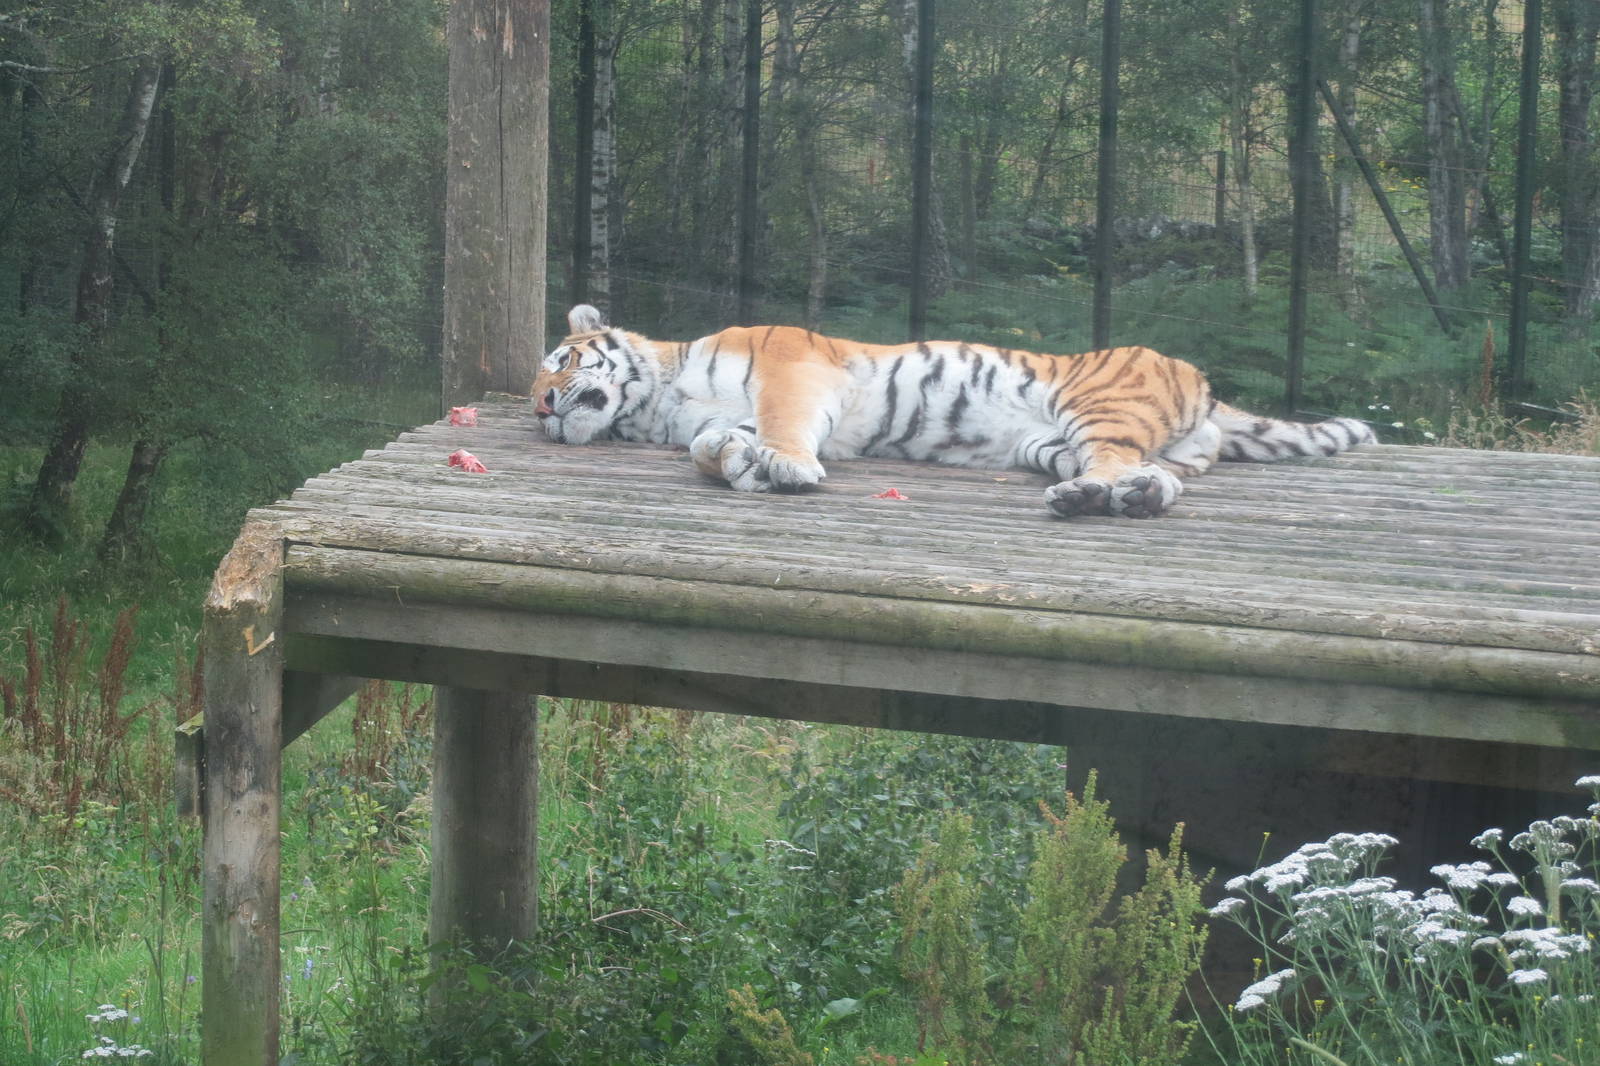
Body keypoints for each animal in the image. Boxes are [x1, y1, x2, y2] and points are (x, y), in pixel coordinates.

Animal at [532, 304, 1376, 518]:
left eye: (562, 362)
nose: (541, 408)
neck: (660, 397)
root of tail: (1201, 381)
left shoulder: (791, 369)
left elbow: (780, 424)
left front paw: (788, 467)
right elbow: (713, 446)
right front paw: (735, 464)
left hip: (1096, 403)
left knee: (1114, 458)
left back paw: (1091, 497)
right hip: (1051, 443)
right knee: (1157, 476)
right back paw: (1122, 495)